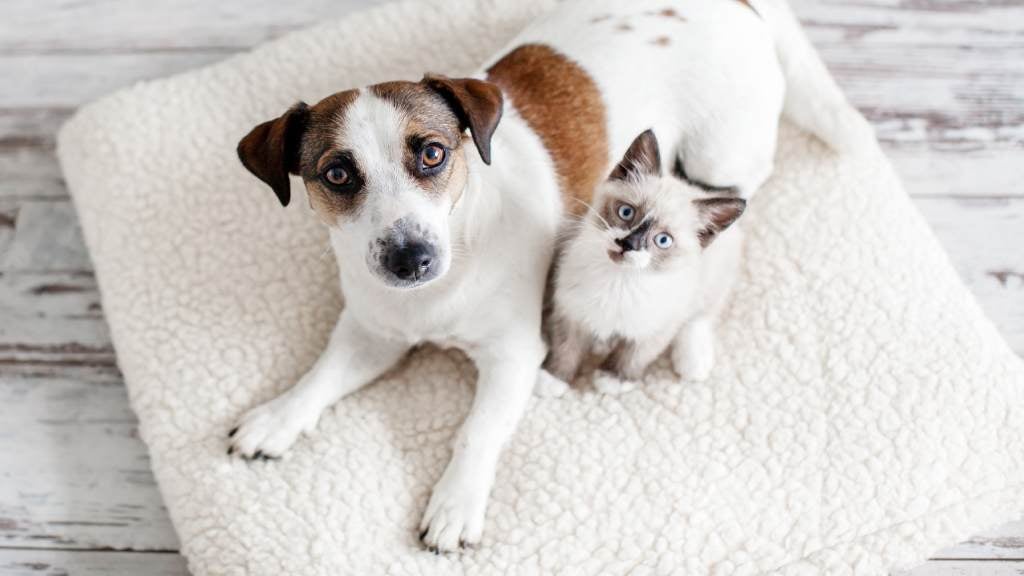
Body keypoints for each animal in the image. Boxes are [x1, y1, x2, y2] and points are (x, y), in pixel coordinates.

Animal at [544, 129, 745, 393]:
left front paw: (614, 379)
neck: (619, 281)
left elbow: (633, 356)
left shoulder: (656, 328)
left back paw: (693, 362)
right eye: (626, 212)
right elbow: (566, 348)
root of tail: (697, 189)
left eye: (663, 240)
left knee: (701, 316)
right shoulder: (570, 311)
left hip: (712, 281)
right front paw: (554, 378)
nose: (628, 244)